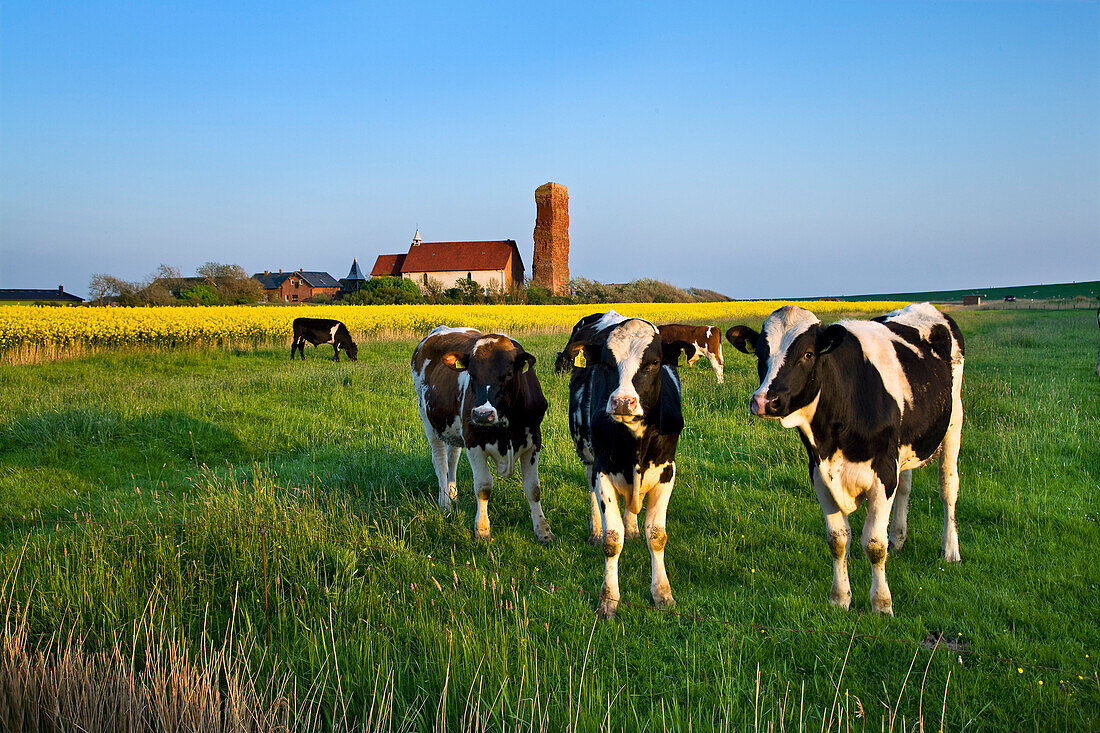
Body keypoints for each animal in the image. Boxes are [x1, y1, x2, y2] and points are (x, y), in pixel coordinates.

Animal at [411, 325, 554, 541]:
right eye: (471, 373)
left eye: (508, 373)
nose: (482, 414)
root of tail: (442, 328)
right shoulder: (473, 441)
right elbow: (483, 486)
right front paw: (482, 530)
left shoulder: (534, 442)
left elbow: (533, 489)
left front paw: (543, 531)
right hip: (429, 422)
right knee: (440, 461)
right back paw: (445, 503)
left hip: (453, 429)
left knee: (452, 459)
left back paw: (453, 494)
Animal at [563, 308, 690, 616]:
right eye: (607, 364)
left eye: (654, 363)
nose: (622, 402)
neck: (635, 442)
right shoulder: (603, 470)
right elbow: (612, 540)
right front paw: (608, 599)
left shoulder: (667, 472)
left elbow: (657, 536)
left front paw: (662, 594)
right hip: (588, 457)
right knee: (592, 494)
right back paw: (595, 532)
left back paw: (632, 526)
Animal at [730, 299, 963, 611]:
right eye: (760, 353)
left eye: (808, 354)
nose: (764, 400)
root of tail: (924, 306)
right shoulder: (819, 472)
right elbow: (837, 540)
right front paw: (839, 598)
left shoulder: (883, 472)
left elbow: (874, 544)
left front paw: (881, 604)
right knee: (906, 487)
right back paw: (898, 539)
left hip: (954, 419)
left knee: (948, 487)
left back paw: (950, 549)